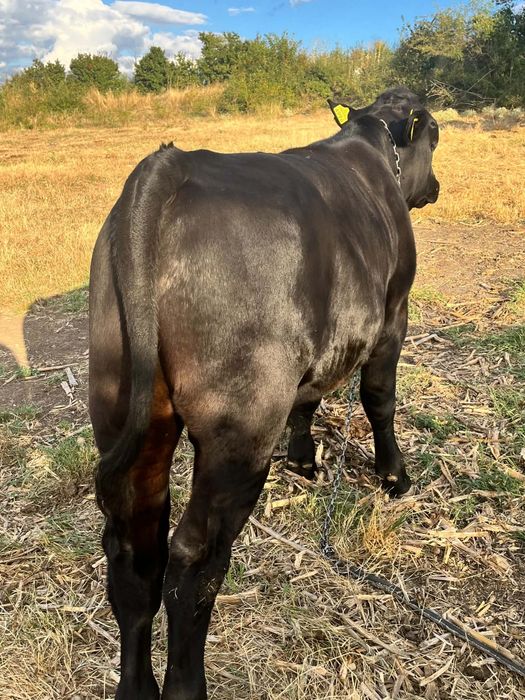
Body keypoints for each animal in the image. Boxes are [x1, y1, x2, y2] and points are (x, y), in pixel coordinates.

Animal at [88, 87, 440, 699]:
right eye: (437, 136)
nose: (436, 188)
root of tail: (169, 165)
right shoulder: (394, 314)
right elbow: (379, 399)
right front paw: (394, 476)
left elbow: (308, 400)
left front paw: (302, 461)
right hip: (239, 429)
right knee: (195, 560)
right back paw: (188, 686)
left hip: (129, 408)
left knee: (135, 552)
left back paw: (136, 687)